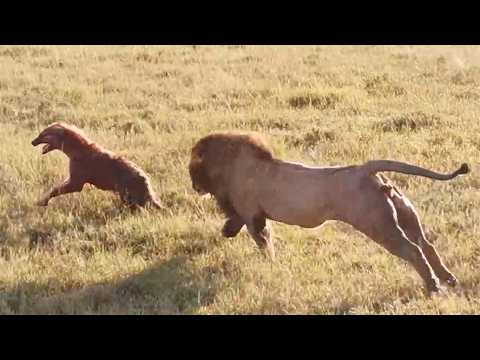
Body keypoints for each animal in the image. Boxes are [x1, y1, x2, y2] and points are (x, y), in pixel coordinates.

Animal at [189, 132, 470, 292]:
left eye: (191, 170)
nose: (193, 186)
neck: (228, 164)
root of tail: (364, 169)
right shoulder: (246, 211)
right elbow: (235, 221)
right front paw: (227, 231)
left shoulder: (253, 215)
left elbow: (264, 242)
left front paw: (270, 265)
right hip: (404, 213)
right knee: (427, 245)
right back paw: (449, 280)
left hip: (378, 224)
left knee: (413, 250)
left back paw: (434, 286)